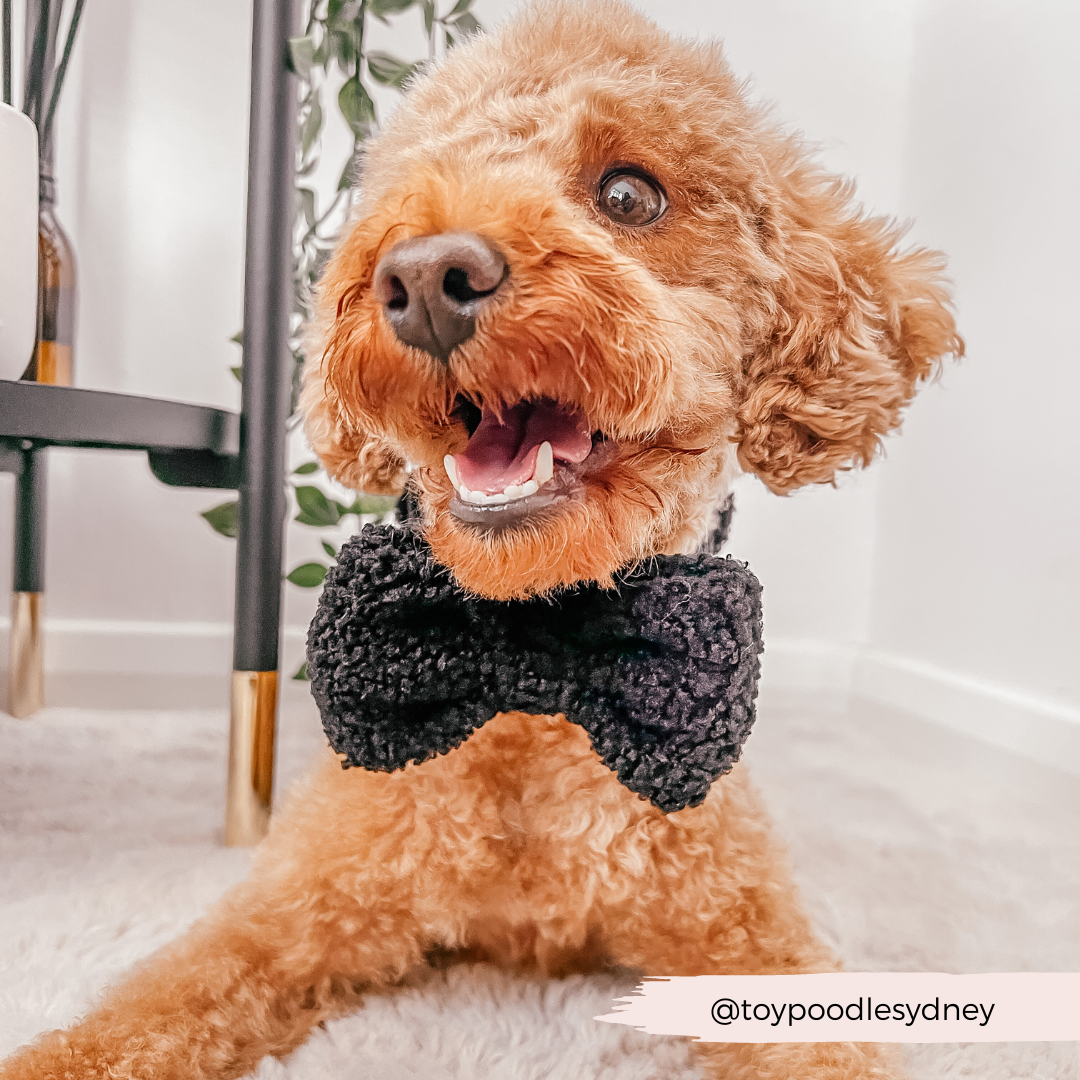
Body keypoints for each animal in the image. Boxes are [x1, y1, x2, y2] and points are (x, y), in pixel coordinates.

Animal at [0, 2, 963, 1080]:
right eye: (411, 181)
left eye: (630, 194)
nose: (423, 276)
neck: (534, 659)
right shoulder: (292, 910)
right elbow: (138, 1014)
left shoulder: (751, 942)